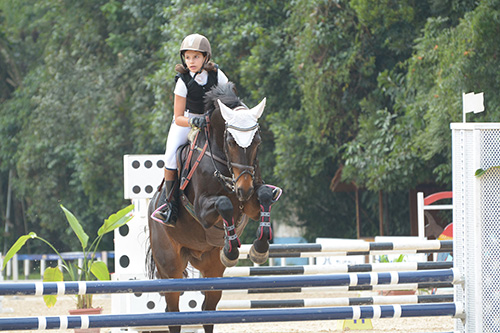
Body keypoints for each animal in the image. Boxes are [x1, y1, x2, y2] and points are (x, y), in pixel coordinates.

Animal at [146, 81, 280, 332]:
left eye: (257, 140)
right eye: (230, 140)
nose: (243, 189)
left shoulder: (251, 203)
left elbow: (265, 195)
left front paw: (259, 248)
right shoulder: (203, 210)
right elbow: (224, 204)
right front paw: (232, 249)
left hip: (211, 268)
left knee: (208, 310)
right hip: (171, 268)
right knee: (173, 312)